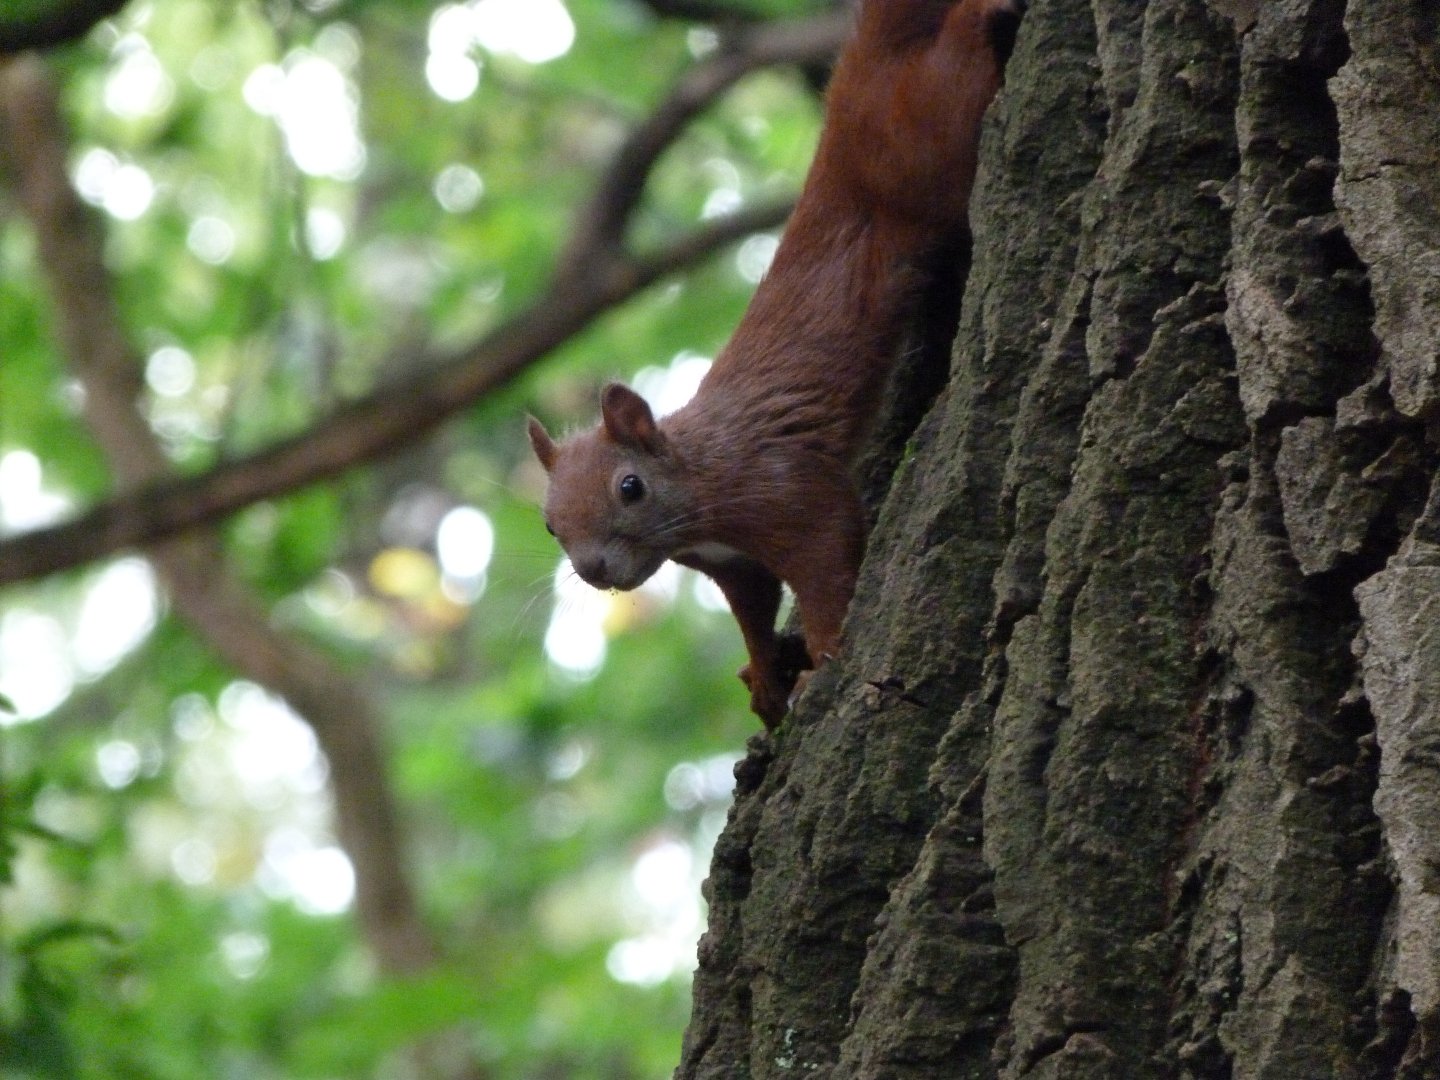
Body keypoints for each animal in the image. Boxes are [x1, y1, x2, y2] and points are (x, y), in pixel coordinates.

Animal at [528, 0, 1024, 727]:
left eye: (630, 488)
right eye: (549, 523)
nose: (594, 570)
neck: (701, 482)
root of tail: (849, 99)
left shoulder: (783, 489)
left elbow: (826, 565)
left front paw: (826, 658)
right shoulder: (734, 566)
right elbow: (754, 615)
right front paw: (766, 680)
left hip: (929, 139)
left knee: (953, 70)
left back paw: (981, 16)